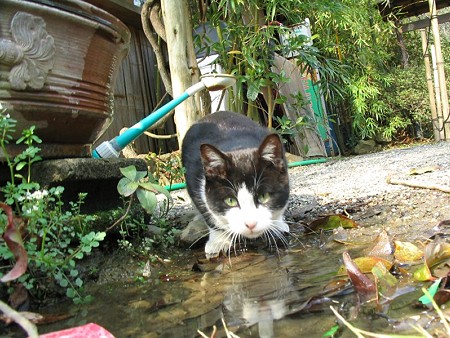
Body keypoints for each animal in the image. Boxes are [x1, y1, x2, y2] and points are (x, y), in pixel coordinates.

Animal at [181, 109, 290, 258]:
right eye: (230, 200)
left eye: (264, 196)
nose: (251, 224)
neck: (238, 148)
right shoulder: (192, 177)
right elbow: (208, 213)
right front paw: (218, 241)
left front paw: (277, 224)